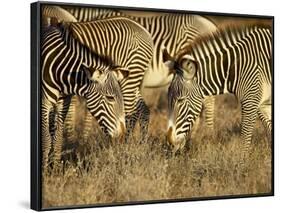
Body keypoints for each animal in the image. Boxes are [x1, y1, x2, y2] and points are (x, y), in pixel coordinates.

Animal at [41, 26, 127, 169]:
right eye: (110, 98)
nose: (122, 136)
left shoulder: (64, 103)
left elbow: (58, 137)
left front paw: (56, 170)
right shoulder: (44, 103)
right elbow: (46, 138)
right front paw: (44, 170)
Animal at [164, 24, 272, 159]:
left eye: (181, 100)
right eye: (168, 99)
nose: (170, 142)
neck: (235, 66)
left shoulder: (251, 102)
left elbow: (245, 140)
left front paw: (241, 163)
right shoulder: (263, 104)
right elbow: (270, 129)